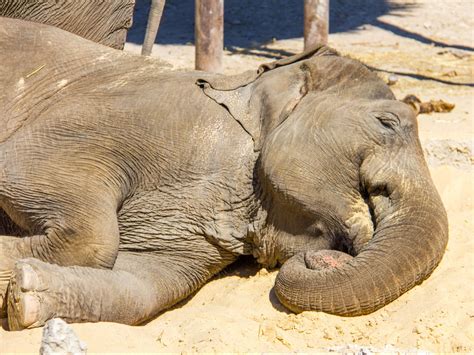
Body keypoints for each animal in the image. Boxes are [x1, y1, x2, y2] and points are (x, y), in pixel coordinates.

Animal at [0, 18, 448, 330]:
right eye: (388, 122)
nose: (327, 259)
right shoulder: (113, 119)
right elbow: (35, 184)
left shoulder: (189, 237)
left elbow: (140, 285)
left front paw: (23, 292)